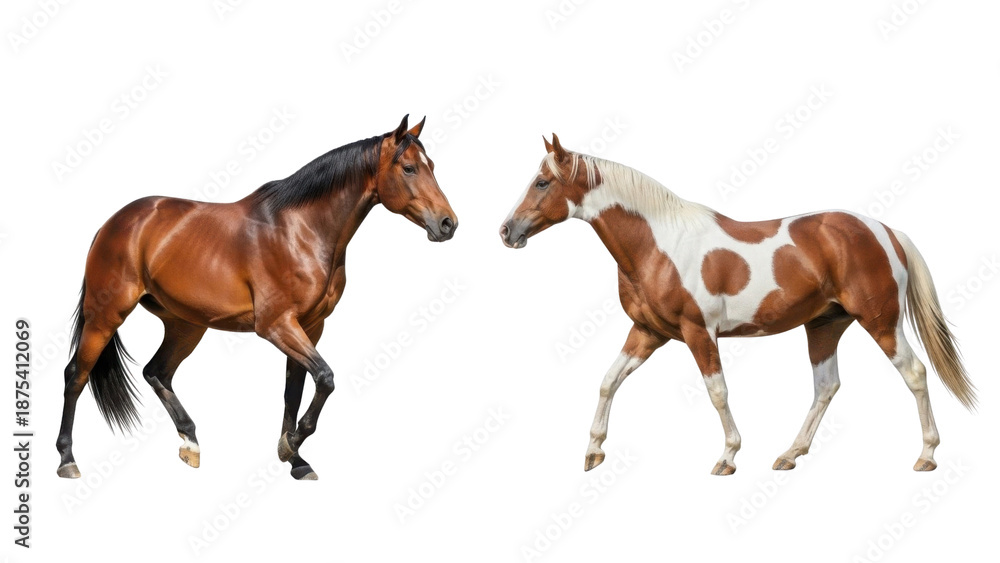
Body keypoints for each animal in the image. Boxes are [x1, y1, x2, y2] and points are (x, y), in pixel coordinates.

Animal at [57, 115, 458, 481]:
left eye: (432, 167)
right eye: (408, 168)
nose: (447, 224)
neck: (301, 231)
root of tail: (113, 224)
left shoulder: (310, 327)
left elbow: (295, 391)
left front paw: (296, 460)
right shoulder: (277, 326)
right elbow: (325, 378)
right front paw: (290, 446)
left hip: (185, 324)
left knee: (157, 372)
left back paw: (191, 443)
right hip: (106, 315)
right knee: (76, 375)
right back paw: (67, 460)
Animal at [499, 134, 975, 475]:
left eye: (542, 182)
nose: (507, 230)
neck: (659, 244)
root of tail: (885, 231)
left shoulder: (698, 332)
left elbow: (717, 392)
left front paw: (728, 457)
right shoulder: (648, 333)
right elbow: (608, 381)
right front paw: (593, 452)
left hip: (881, 321)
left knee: (915, 374)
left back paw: (927, 455)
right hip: (824, 326)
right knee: (826, 387)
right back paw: (790, 454)